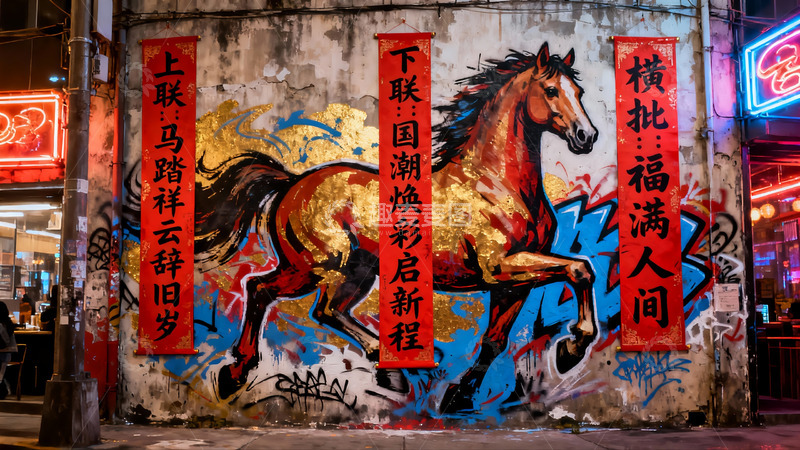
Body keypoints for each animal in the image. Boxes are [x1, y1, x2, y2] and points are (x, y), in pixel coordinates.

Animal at [195, 42, 599, 413]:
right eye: (551, 90)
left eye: (579, 92)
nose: (587, 136)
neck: (495, 183)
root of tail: (292, 183)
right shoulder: (500, 267)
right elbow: (580, 269)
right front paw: (572, 348)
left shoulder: (510, 285)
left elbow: (494, 341)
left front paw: (458, 396)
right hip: (320, 265)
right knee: (288, 298)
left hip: (351, 270)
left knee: (300, 301)